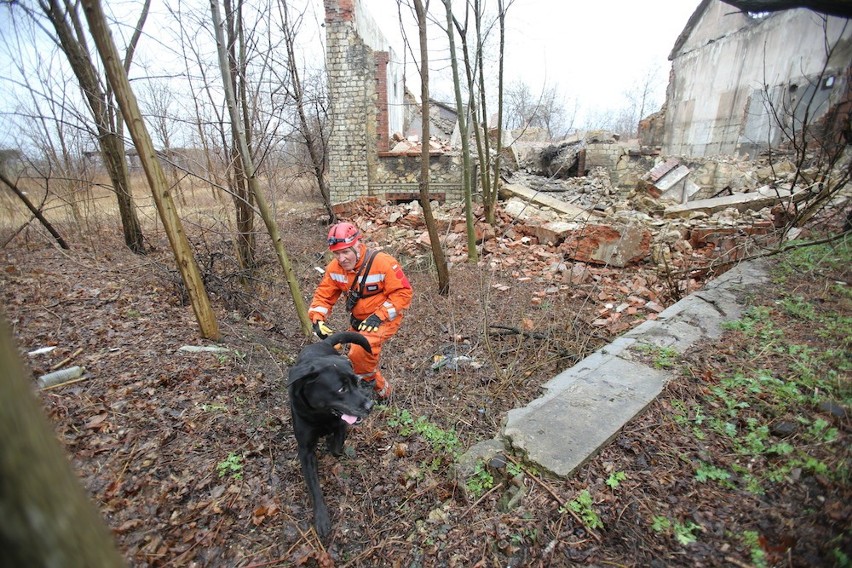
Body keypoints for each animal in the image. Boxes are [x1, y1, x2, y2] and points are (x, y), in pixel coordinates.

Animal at [288, 330, 374, 540]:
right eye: (341, 389)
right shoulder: (305, 450)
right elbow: (313, 486)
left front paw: (330, 442)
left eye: (356, 382)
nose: (370, 406)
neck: (321, 415)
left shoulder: (341, 425)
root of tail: (324, 343)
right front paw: (321, 517)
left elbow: (336, 447)